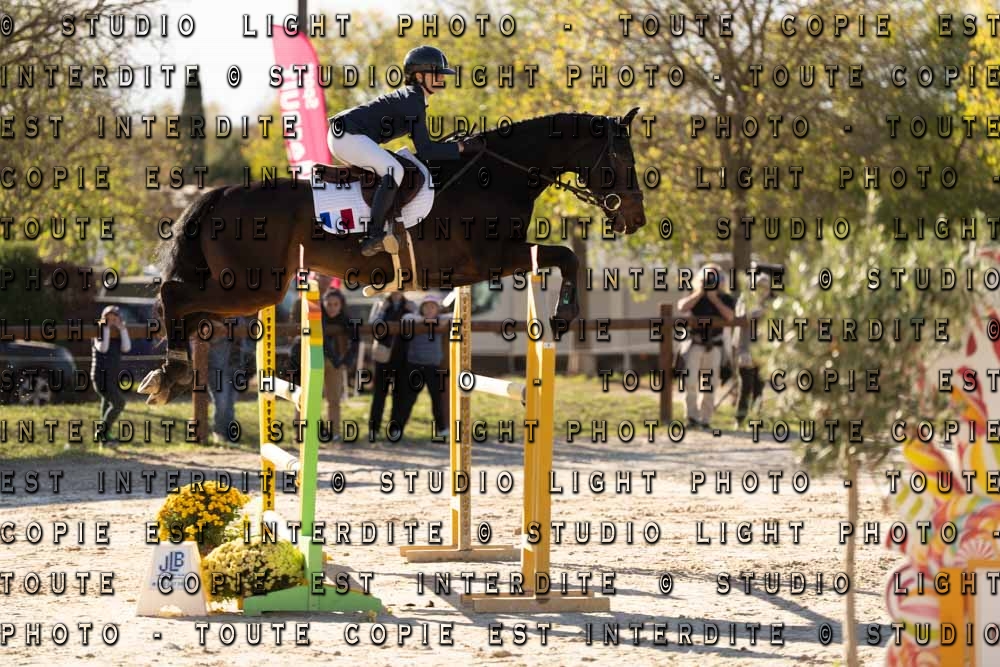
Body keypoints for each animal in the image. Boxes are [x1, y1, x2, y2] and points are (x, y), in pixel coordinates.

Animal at [137, 108, 647, 405]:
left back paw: (168, 372)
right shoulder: (493, 258)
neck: (497, 175)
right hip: (253, 286)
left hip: (246, 287)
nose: (636, 219)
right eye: (622, 162)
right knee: (174, 295)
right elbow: (566, 255)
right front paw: (563, 315)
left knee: (190, 309)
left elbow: (563, 256)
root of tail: (220, 194)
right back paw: (171, 371)